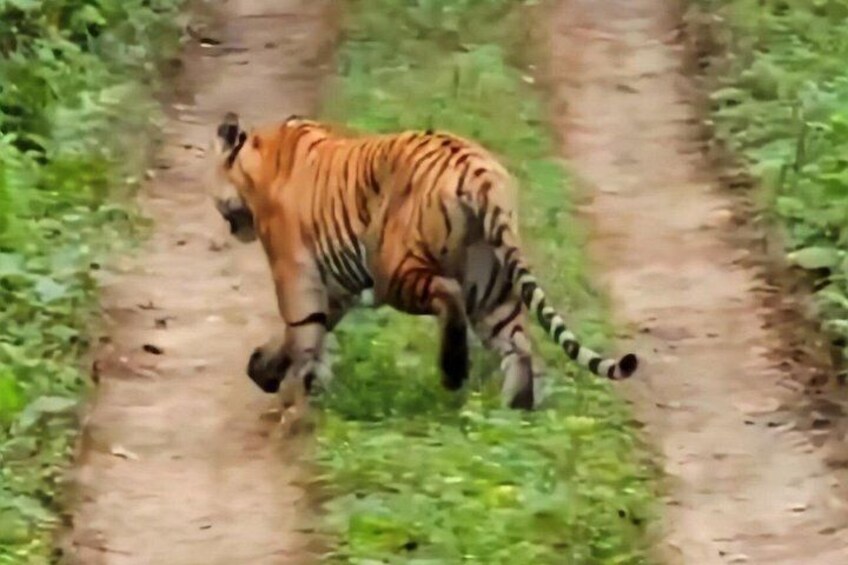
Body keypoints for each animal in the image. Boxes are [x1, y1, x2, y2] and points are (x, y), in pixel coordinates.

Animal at [210, 112, 638, 411]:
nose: (229, 224)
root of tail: (477, 169)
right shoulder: (336, 286)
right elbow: (306, 329)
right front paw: (265, 367)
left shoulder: (295, 271)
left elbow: (302, 330)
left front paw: (297, 398)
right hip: (491, 282)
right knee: (517, 346)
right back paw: (513, 413)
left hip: (395, 268)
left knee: (449, 296)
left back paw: (453, 372)